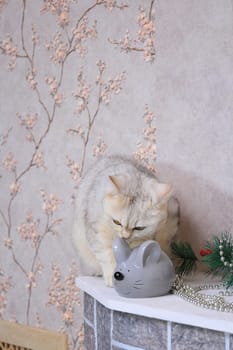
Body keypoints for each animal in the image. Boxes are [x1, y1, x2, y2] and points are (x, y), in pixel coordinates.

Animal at [73, 154, 178, 286]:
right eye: (116, 222)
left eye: (139, 228)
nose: (125, 236)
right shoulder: (97, 231)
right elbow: (107, 256)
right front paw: (112, 276)